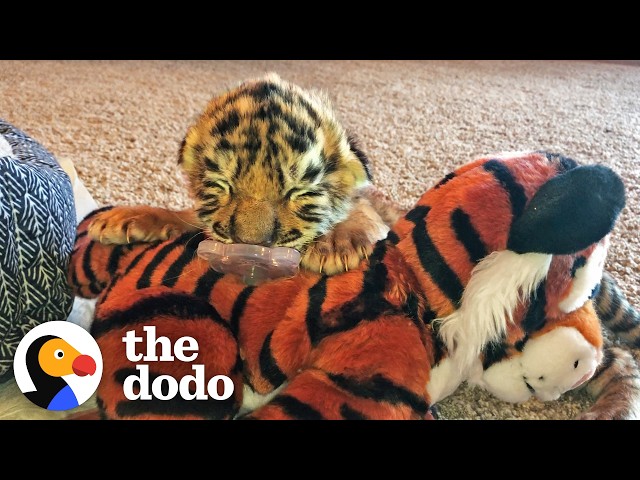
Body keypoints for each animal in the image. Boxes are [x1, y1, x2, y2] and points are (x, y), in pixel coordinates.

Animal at [87, 73, 401, 276]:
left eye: (298, 192)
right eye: (223, 185)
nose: (251, 247)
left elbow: (363, 207)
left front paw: (335, 244)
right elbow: (182, 214)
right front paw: (123, 217)